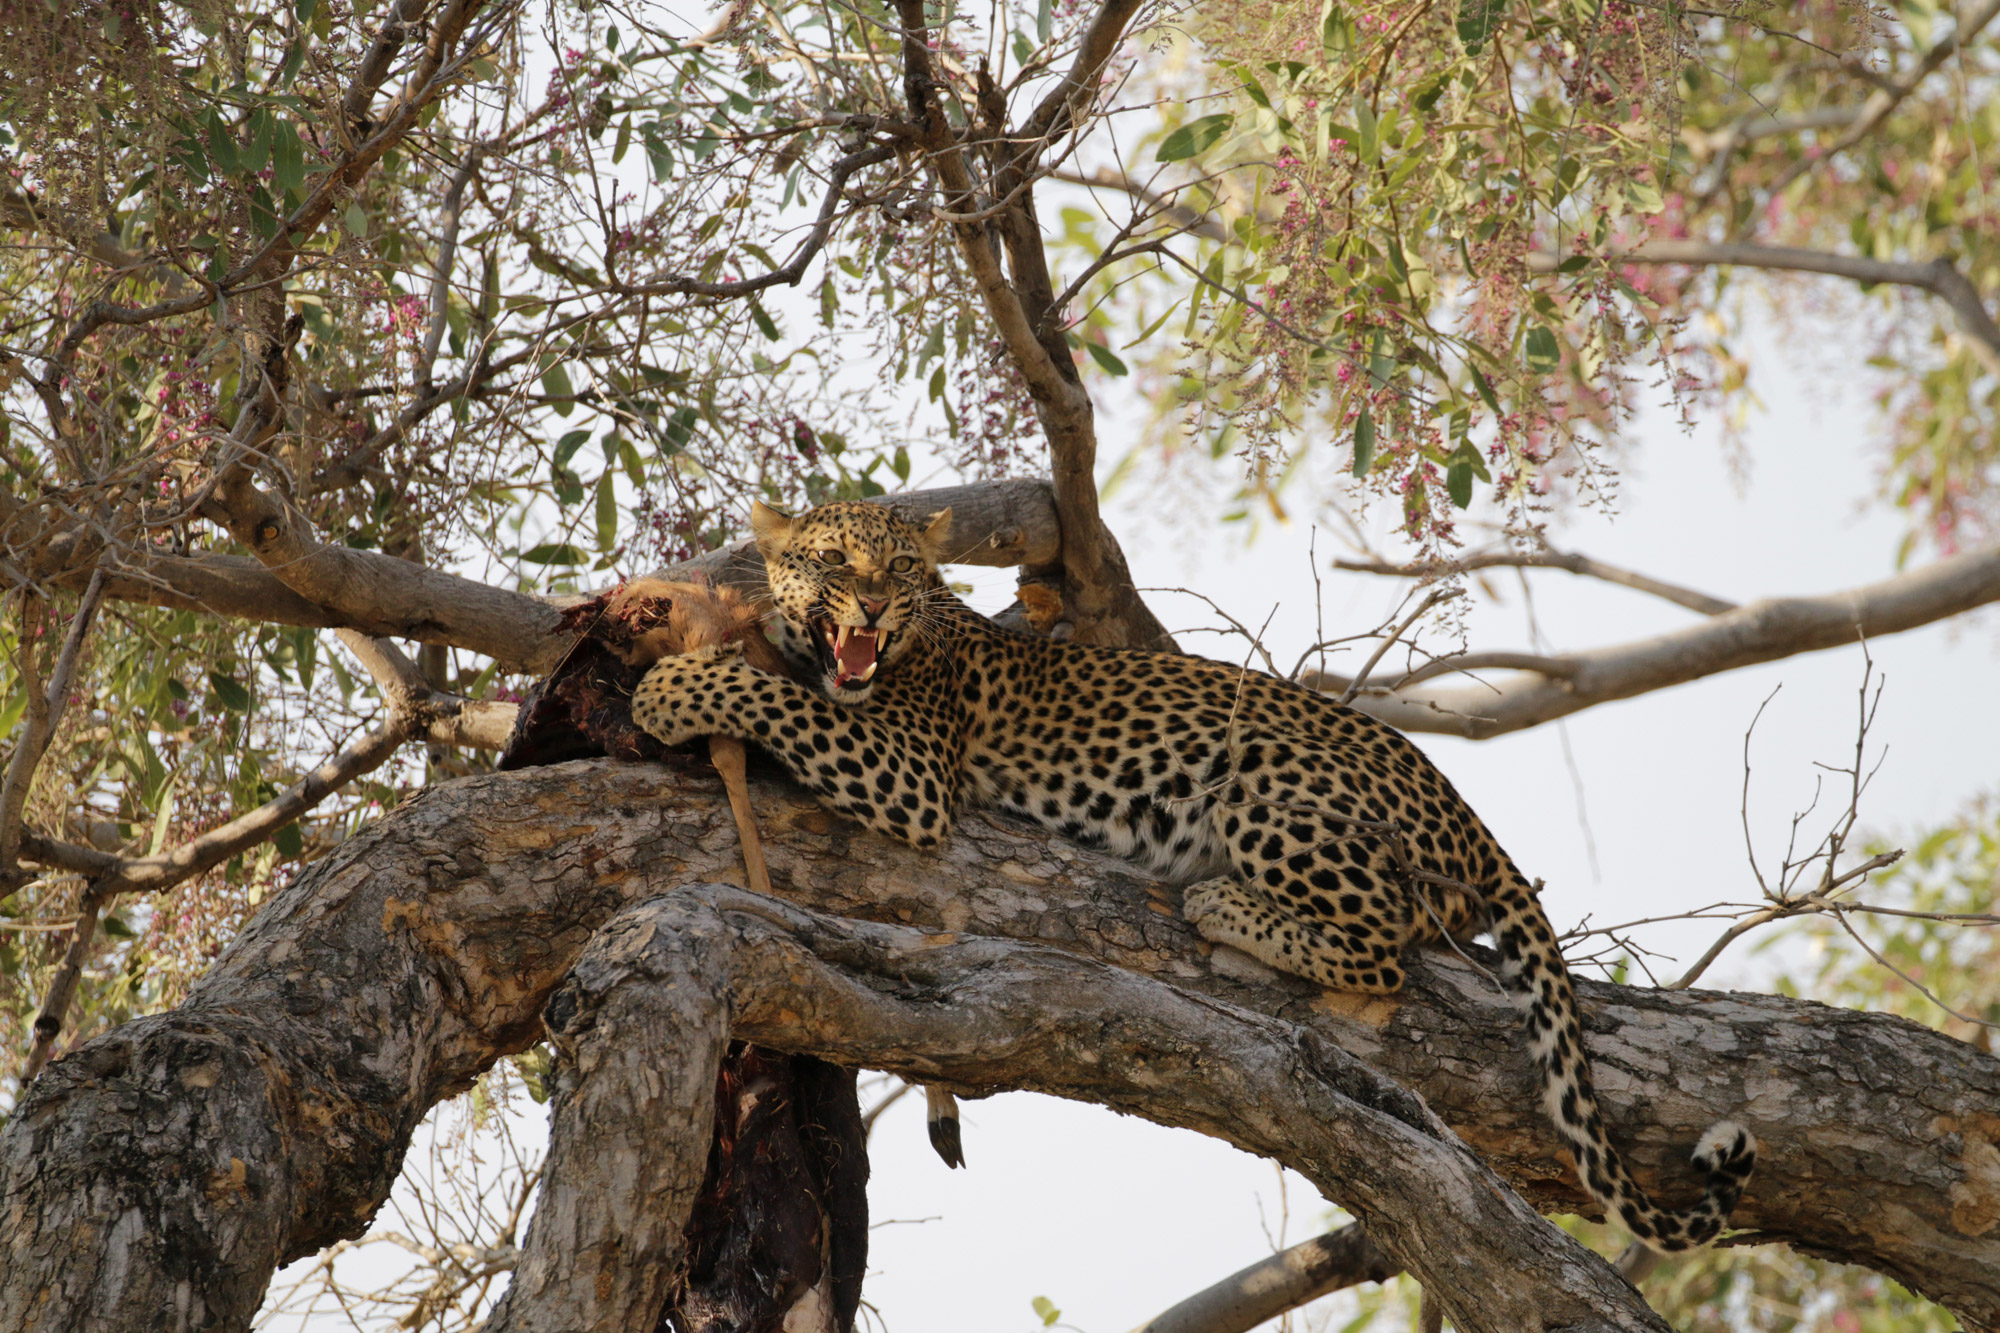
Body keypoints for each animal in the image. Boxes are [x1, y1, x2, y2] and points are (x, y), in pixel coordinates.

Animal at [632, 496, 1760, 1248]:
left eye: (902, 569)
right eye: (832, 559)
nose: (868, 604)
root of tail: (1465, 812)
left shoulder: (907, 770)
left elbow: (775, 696)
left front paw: (667, 689)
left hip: (1262, 775)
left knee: (1385, 953)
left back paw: (1219, 899)